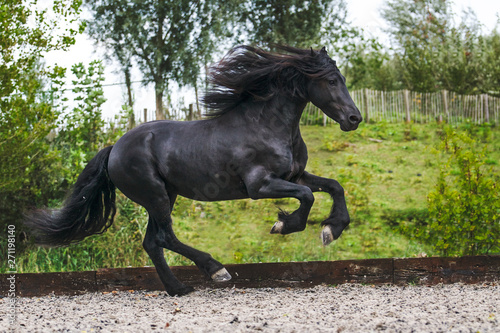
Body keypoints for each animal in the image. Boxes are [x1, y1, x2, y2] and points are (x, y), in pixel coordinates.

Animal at [26, 44, 364, 296]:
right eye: (331, 80)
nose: (354, 118)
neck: (267, 126)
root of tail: (114, 148)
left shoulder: (294, 175)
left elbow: (333, 186)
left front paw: (332, 229)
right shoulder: (260, 186)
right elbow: (307, 196)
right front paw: (284, 225)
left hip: (165, 196)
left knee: (152, 242)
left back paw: (178, 288)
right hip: (156, 196)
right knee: (165, 238)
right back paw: (216, 270)